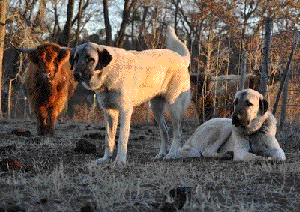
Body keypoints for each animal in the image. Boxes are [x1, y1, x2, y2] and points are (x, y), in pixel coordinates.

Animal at [71, 26, 191, 166]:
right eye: (76, 58)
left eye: (90, 59)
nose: (76, 75)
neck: (108, 73)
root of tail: (181, 59)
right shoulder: (109, 112)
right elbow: (108, 138)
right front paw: (106, 158)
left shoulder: (125, 111)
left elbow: (122, 138)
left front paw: (120, 160)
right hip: (156, 109)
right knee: (165, 131)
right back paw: (161, 154)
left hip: (174, 107)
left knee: (178, 133)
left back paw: (171, 154)